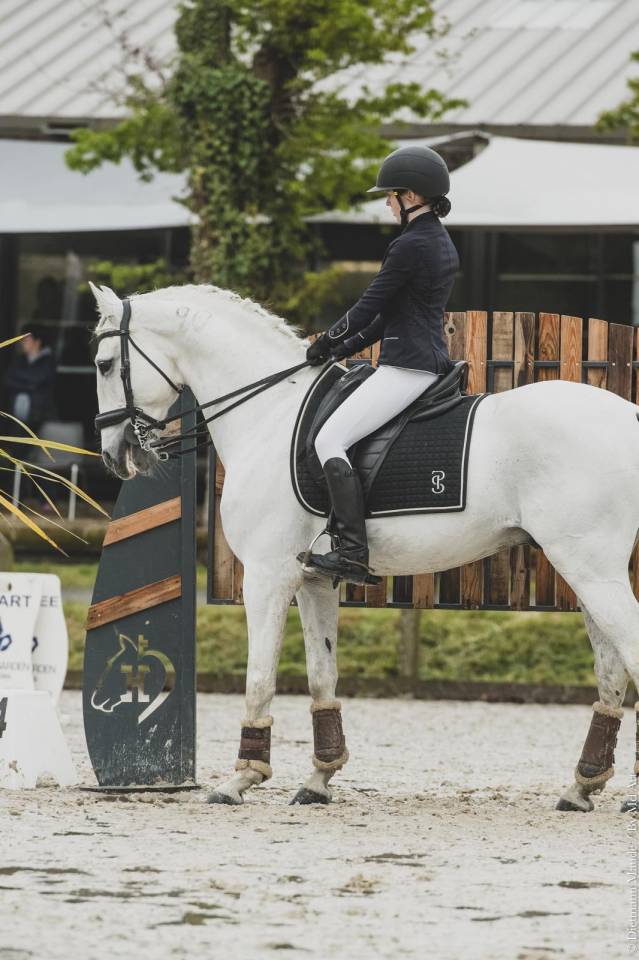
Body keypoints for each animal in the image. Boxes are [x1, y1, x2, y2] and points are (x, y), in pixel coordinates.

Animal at [90, 281, 639, 812]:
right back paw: (582, 787)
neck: (269, 413)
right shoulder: (314, 579)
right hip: (584, 572)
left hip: (591, 568)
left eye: (102, 363)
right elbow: (321, 675)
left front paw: (241, 779)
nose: (116, 455)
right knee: (611, 670)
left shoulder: (267, 576)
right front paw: (319, 778)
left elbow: (260, 677)